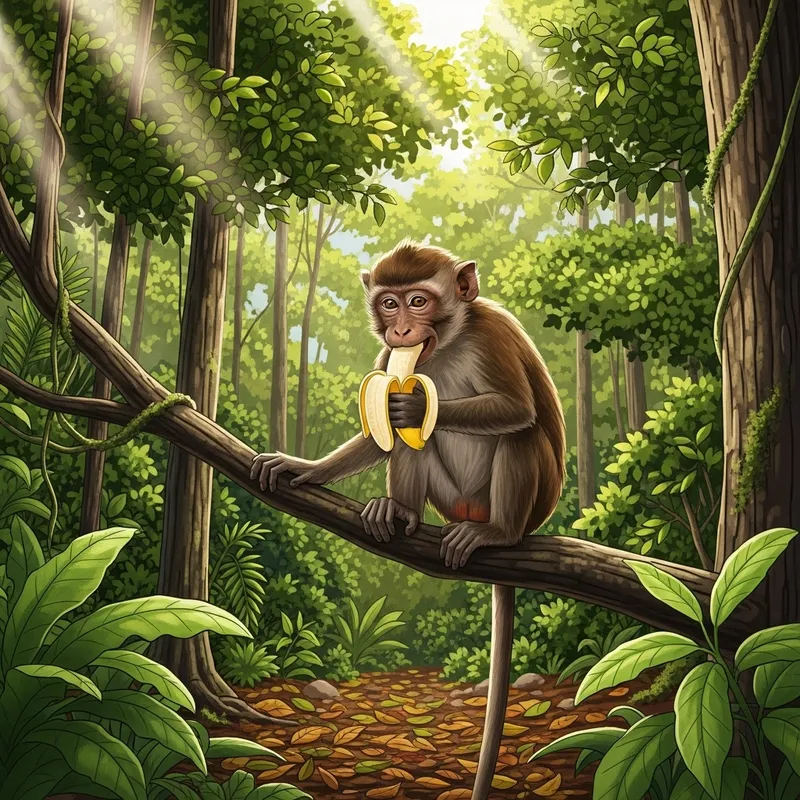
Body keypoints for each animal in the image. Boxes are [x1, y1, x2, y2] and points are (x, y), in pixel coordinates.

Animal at [251, 240, 565, 800]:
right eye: (389, 303)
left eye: (418, 301)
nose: (400, 331)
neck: (449, 343)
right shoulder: (387, 363)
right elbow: (380, 431)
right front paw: (305, 468)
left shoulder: (493, 333)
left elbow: (514, 408)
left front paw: (415, 404)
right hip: (449, 499)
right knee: (410, 445)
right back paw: (400, 512)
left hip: (527, 504)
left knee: (520, 432)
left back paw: (497, 532)